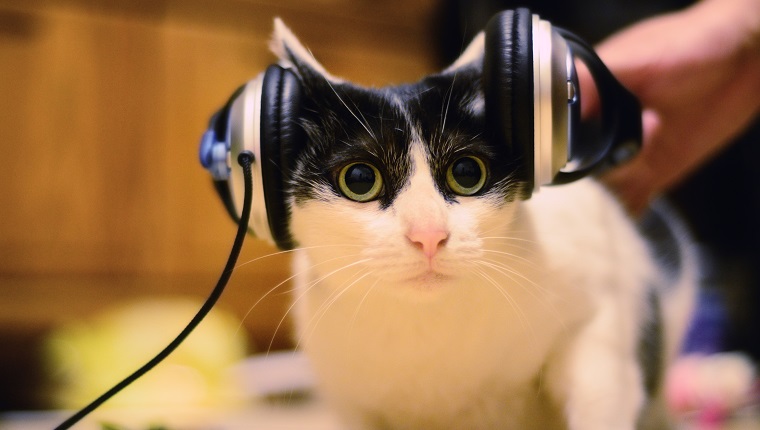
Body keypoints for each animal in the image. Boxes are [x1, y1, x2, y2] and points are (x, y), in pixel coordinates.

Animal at [270, 19, 696, 430]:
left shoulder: (595, 305)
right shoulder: (348, 397)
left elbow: (599, 395)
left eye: (466, 172)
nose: (429, 235)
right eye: (359, 179)